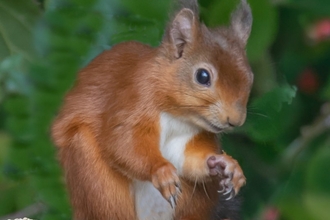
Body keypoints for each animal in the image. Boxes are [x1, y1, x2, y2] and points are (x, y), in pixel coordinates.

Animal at [51, 0, 253, 219]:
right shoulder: (131, 103)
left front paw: (227, 165)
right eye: (202, 76)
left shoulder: (191, 136)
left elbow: (189, 160)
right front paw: (161, 171)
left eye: (250, 78)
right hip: (96, 182)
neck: (178, 116)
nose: (235, 120)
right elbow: (123, 144)